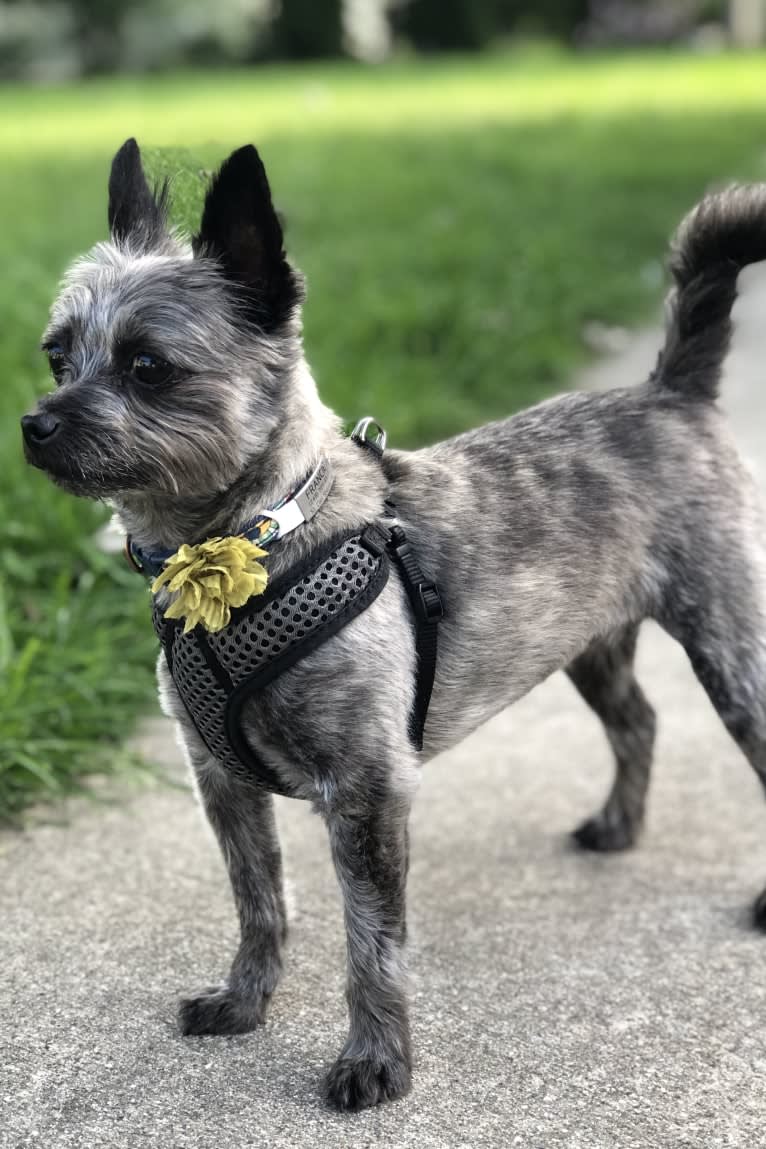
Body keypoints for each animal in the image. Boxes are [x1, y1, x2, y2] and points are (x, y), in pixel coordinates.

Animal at [19, 139, 766, 1107]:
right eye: (57, 356)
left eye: (148, 365)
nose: (34, 424)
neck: (254, 541)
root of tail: (671, 392)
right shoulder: (222, 785)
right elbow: (259, 902)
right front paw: (244, 1001)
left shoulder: (367, 792)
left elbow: (372, 944)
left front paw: (376, 1060)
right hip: (589, 645)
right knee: (637, 718)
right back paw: (617, 826)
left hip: (730, 648)